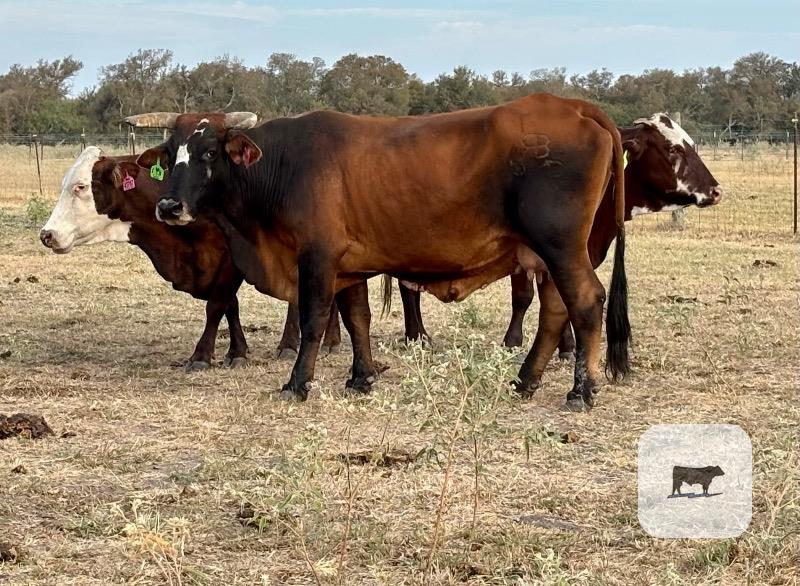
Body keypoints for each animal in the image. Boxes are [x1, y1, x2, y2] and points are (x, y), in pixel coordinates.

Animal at [40, 146, 341, 369]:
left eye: (80, 187)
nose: (47, 234)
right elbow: (231, 307)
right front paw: (236, 351)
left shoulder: (230, 261)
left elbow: (217, 306)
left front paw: (202, 355)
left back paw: (302, 343)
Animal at [128, 94, 628, 411]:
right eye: (170, 153)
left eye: (209, 153)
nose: (169, 207)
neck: (283, 166)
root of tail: (573, 106)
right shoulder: (349, 266)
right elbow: (356, 319)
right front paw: (361, 377)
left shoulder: (317, 259)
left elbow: (313, 321)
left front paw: (297, 383)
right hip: (548, 255)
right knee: (556, 311)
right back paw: (524, 381)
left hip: (561, 247)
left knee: (585, 303)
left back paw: (581, 392)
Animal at [395, 113, 724, 368]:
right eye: (672, 148)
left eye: (690, 144)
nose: (716, 190)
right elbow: (525, 297)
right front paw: (515, 341)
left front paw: (565, 347)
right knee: (406, 288)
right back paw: (417, 336)